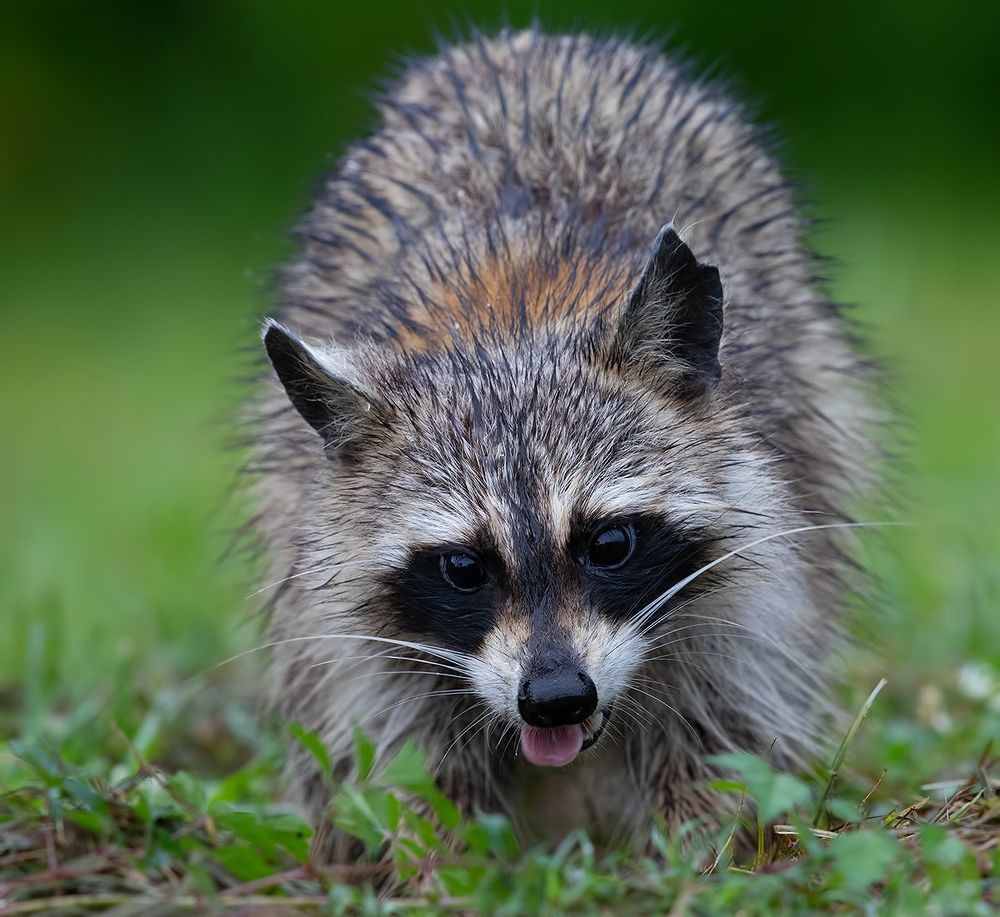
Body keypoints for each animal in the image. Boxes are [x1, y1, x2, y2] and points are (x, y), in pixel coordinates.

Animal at [252, 29, 877, 853]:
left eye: (609, 543)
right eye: (462, 567)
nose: (554, 698)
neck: (509, 326)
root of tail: (531, 40)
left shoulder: (764, 535)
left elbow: (724, 715)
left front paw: (699, 852)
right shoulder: (350, 605)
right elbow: (402, 742)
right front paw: (437, 855)